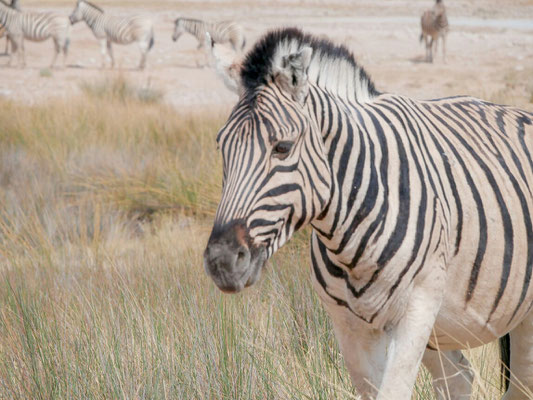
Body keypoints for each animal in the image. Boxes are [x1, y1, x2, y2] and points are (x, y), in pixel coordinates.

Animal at [203, 26, 532, 398]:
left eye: (282, 148)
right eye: (222, 147)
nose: (221, 261)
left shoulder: (416, 309)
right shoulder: (350, 329)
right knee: (460, 378)